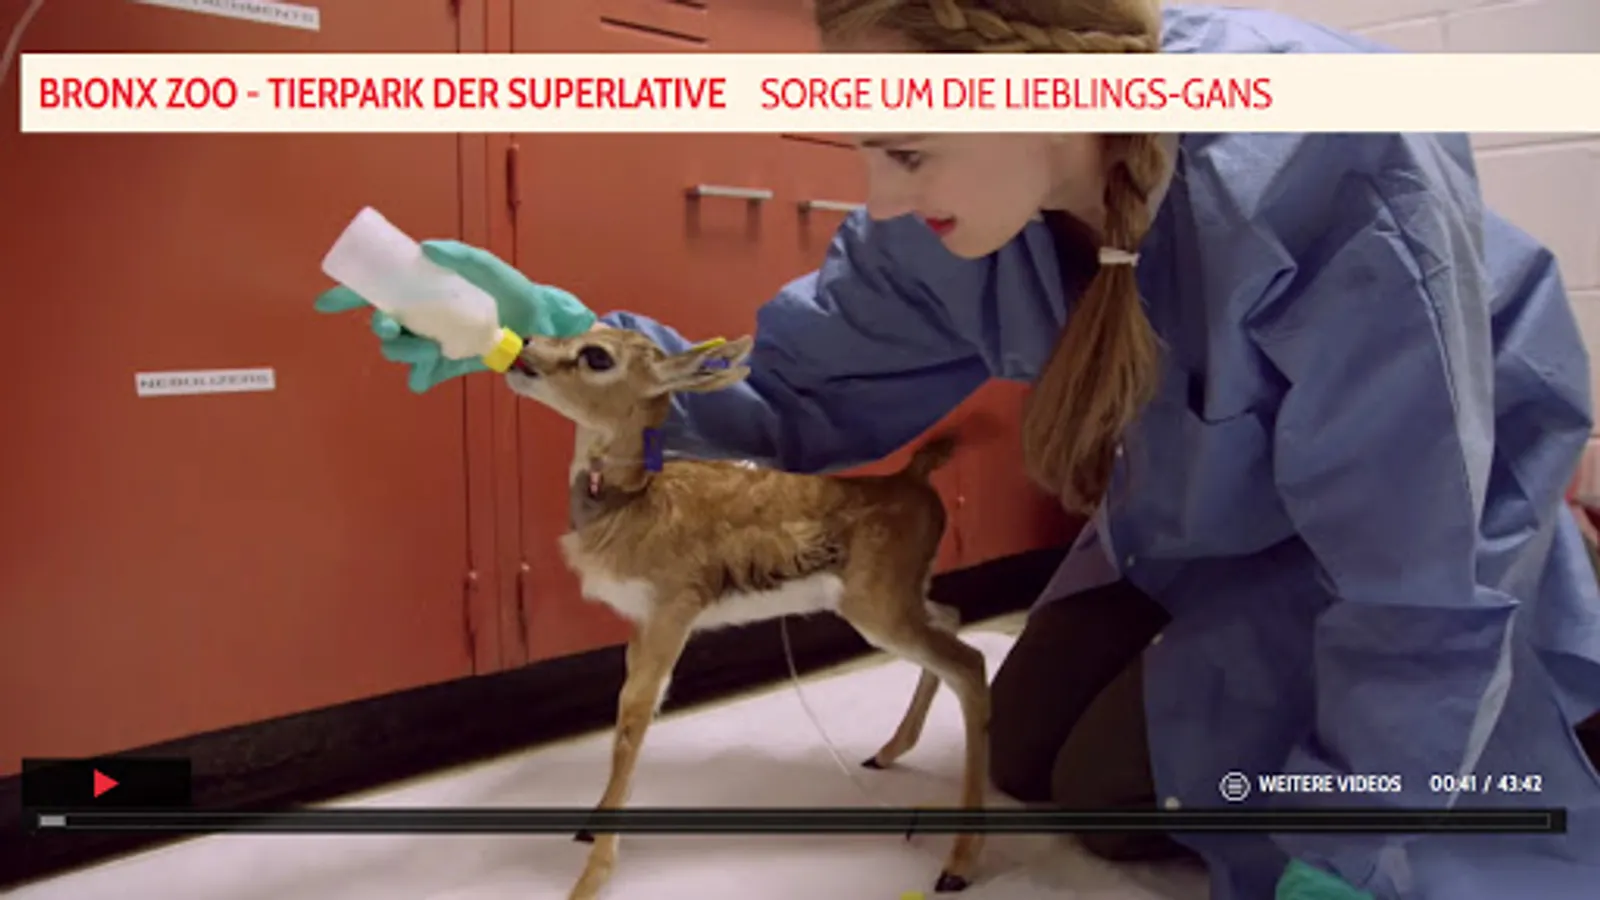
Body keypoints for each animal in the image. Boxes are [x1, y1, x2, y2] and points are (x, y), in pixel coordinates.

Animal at [502, 327, 992, 900]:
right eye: (583, 332)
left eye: (597, 356)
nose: (525, 344)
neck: (635, 504)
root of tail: (912, 479)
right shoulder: (641, 627)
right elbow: (626, 711)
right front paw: (590, 826)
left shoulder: (672, 614)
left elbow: (634, 717)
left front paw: (590, 878)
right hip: (902, 604)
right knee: (953, 622)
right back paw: (887, 753)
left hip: (880, 612)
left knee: (970, 665)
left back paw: (957, 865)